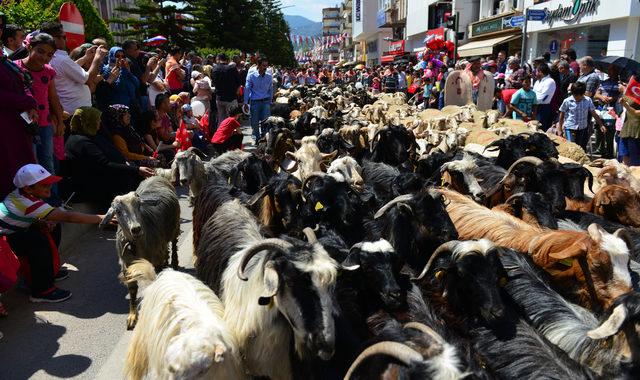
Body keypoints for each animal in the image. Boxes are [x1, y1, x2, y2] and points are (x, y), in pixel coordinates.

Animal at [100, 177, 180, 330]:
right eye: (117, 211)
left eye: (138, 205)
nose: (136, 229)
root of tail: (156, 176)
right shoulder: (127, 265)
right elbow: (132, 291)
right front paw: (132, 317)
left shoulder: (155, 260)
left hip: (175, 226)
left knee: (173, 244)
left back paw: (174, 262)